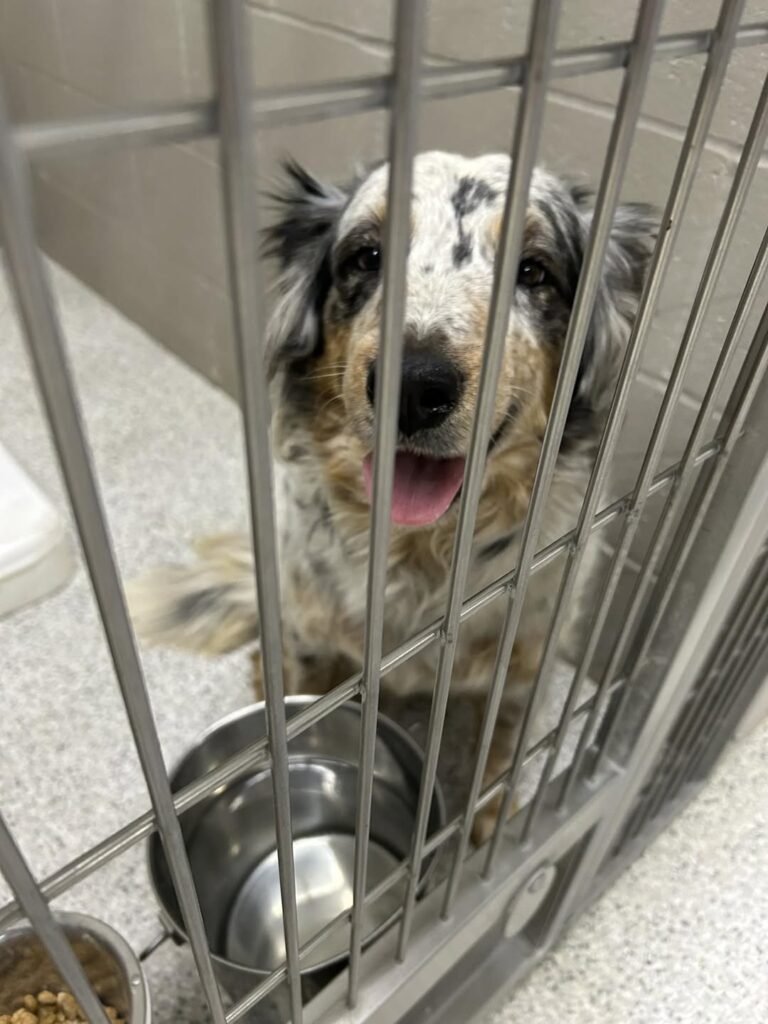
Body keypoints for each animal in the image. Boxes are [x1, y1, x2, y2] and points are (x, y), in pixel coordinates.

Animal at [128, 152, 652, 841]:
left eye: (534, 270)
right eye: (367, 257)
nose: (416, 384)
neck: (420, 551)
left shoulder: (526, 667)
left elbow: (500, 762)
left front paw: (490, 835)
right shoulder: (310, 640)